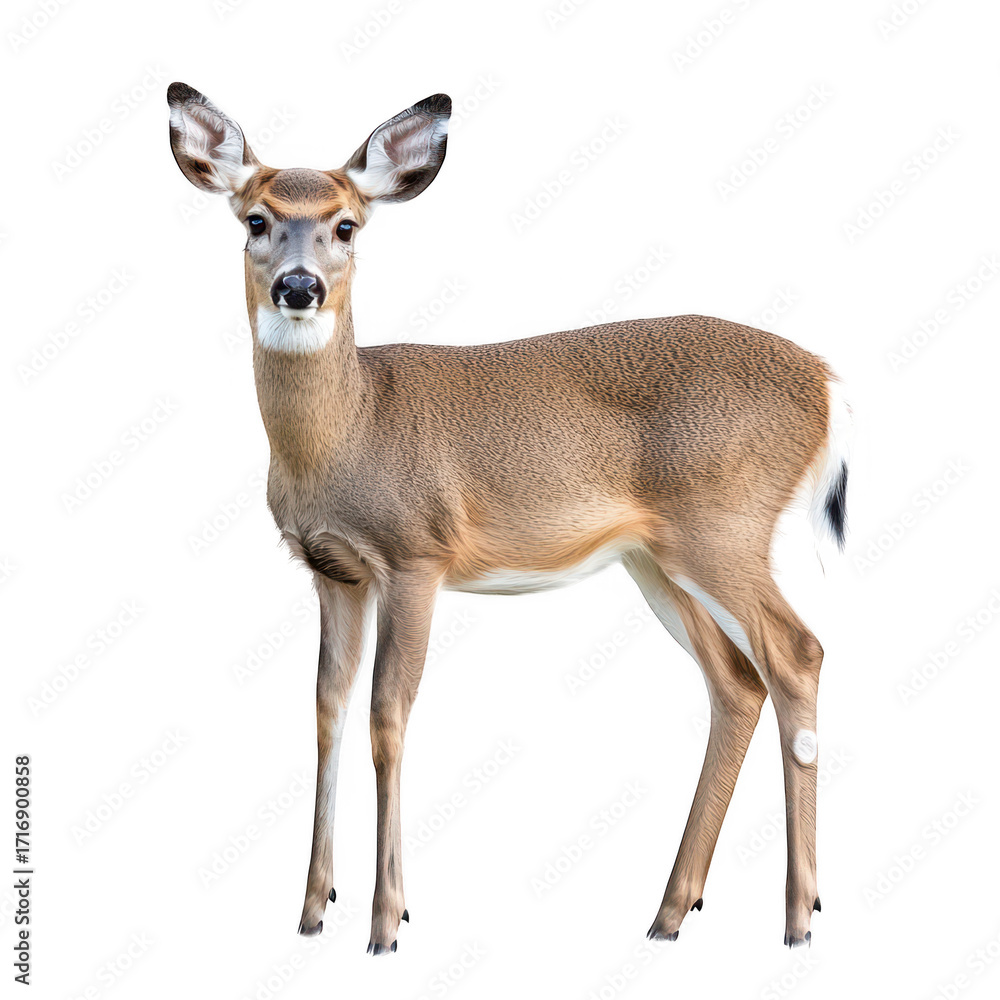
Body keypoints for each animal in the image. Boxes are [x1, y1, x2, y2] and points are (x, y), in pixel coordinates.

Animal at [167, 82, 850, 955]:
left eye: (346, 224)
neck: (352, 424)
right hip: (658, 558)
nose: (299, 286)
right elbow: (327, 710)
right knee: (736, 683)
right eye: (256, 219)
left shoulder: (416, 554)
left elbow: (389, 714)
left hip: (724, 525)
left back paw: (798, 917)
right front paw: (313, 909)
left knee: (798, 653)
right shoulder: (333, 572)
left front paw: (388, 921)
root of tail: (826, 381)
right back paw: (670, 912)